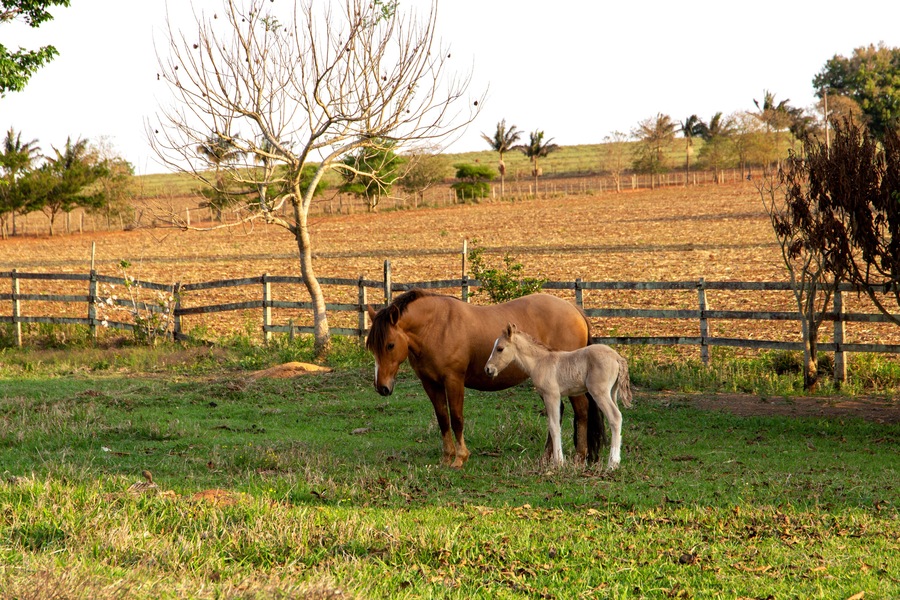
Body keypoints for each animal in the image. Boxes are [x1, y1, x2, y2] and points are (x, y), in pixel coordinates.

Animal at [365, 289, 604, 468]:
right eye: (372, 347)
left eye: (390, 345)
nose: (382, 387)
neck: (437, 326)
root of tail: (574, 310)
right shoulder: (430, 384)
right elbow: (443, 419)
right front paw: (447, 457)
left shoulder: (453, 381)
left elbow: (457, 418)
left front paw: (460, 458)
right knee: (558, 413)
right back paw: (546, 457)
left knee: (581, 411)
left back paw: (579, 457)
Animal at [485, 322, 632, 469]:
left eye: (500, 348)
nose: (488, 369)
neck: (540, 362)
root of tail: (617, 358)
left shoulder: (551, 395)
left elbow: (554, 426)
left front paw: (559, 462)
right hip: (612, 392)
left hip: (599, 392)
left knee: (615, 417)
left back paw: (612, 464)